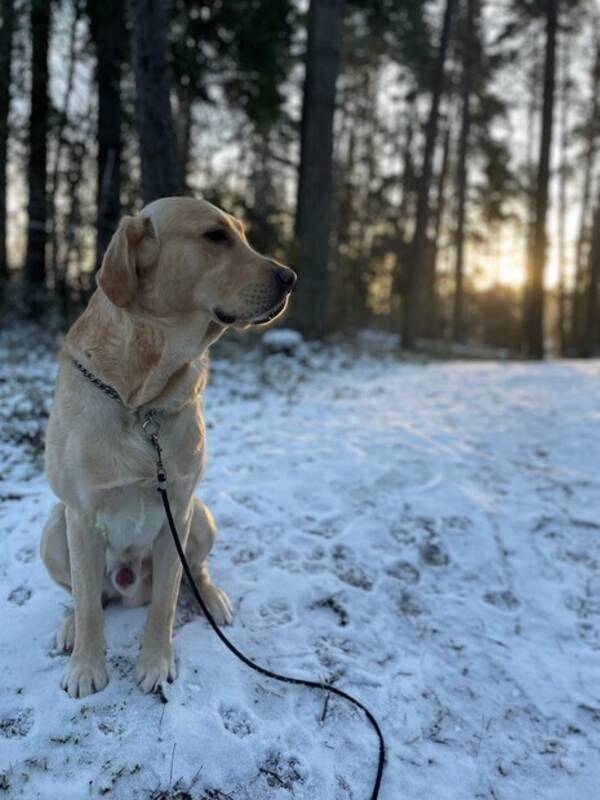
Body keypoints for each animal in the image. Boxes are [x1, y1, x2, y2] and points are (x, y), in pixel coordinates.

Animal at [39, 197, 298, 696]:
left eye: (242, 235)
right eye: (216, 236)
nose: (290, 277)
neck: (142, 401)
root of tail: (126, 583)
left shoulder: (176, 507)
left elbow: (166, 599)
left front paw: (156, 662)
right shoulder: (80, 515)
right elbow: (88, 604)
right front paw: (86, 667)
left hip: (201, 516)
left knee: (194, 572)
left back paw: (212, 598)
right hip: (54, 530)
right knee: (87, 595)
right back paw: (69, 624)